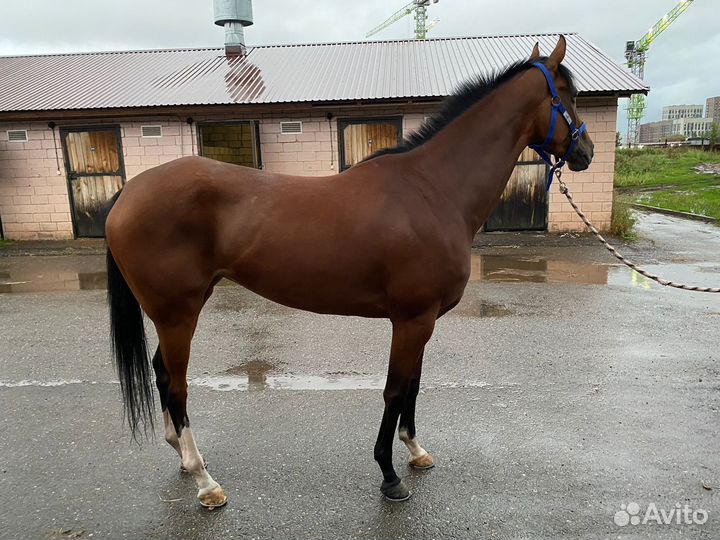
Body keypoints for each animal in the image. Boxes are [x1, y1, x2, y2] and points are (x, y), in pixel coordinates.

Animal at [105, 35, 594, 509]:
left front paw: (415, 451)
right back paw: (206, 483)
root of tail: (128, 192)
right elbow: (395, 390)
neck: (432, 190)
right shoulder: (411, 319)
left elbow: (413, 385)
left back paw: (184, 457)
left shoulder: (424, 320)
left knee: (162, 373)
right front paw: (390, 475)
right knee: (177, 386)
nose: (586, 152)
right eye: (567, 95)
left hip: (182, 308)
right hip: (177, 314)